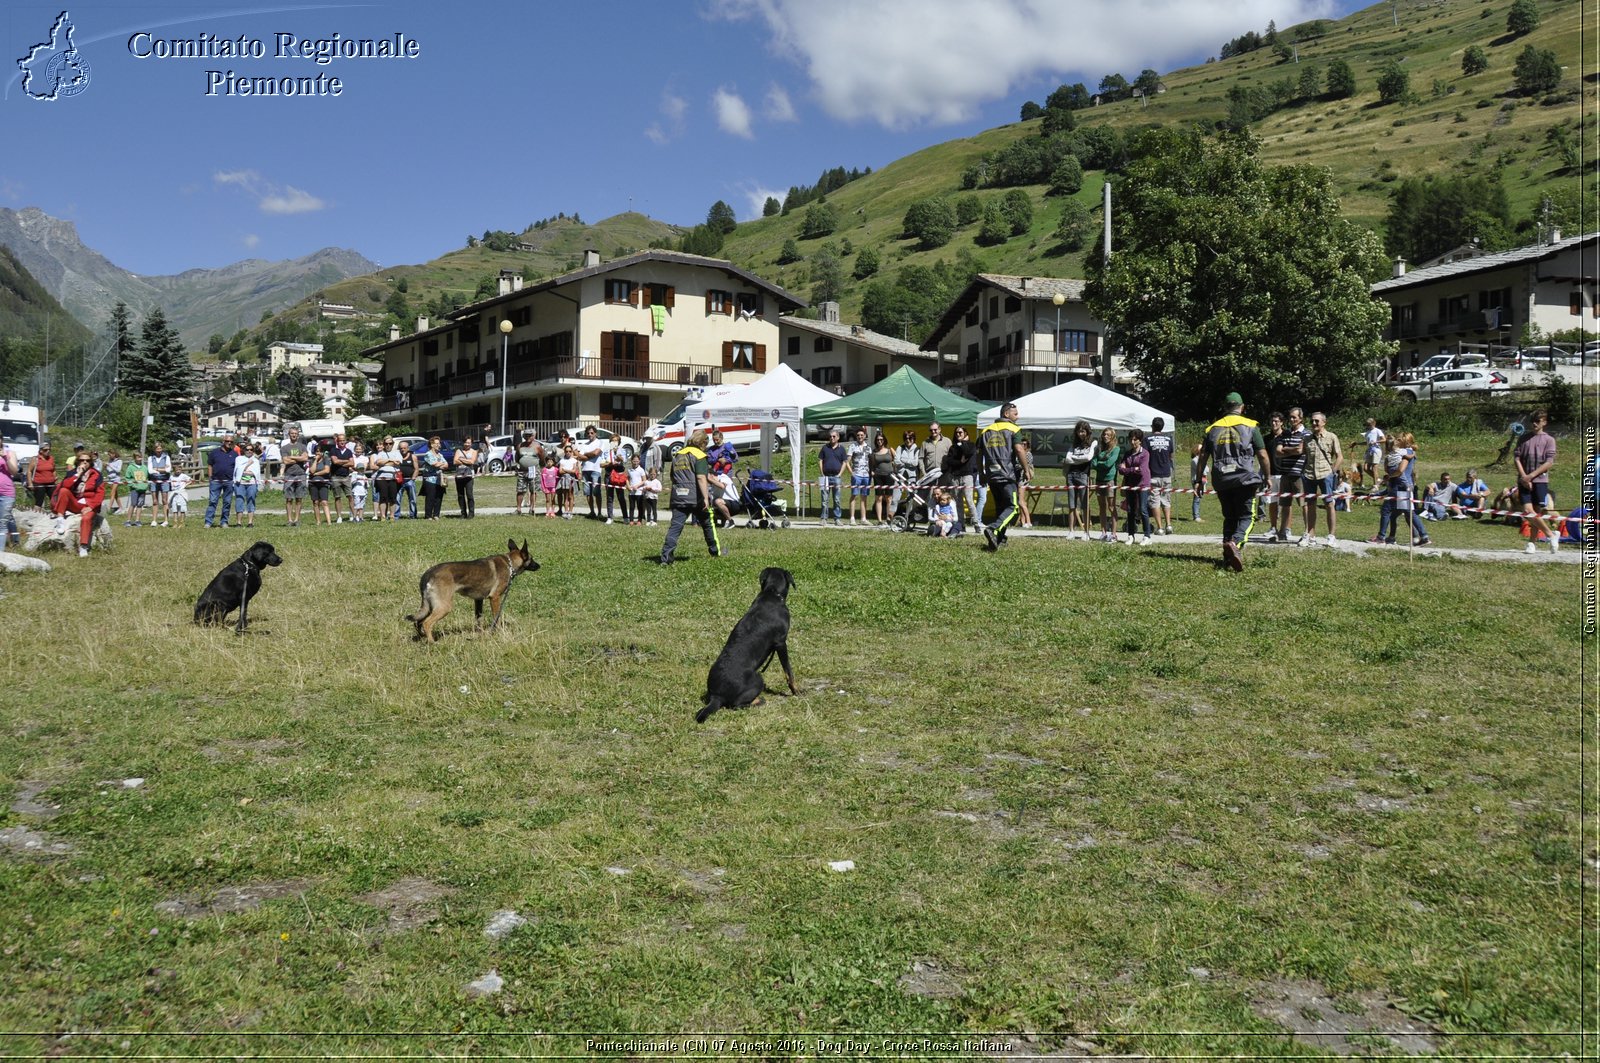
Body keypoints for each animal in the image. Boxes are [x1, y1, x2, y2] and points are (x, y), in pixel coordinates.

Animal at [409, 534, 540, 643]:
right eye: (532, 558)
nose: (539, 566)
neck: (510, 564)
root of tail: (428, 573)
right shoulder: (495, 598)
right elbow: (496, 618)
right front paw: (497, 633)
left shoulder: (478, 600)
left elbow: (478, 619)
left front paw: (479, 634)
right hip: (444, 606)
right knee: (426, 623)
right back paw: (432, 642)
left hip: (430, 605)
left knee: (418, 621)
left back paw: (422, 637)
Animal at [700, 563, 800, 723]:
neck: (771, 593)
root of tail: (717, 696)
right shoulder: (781, 642)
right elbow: (789, 672)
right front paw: (797, 691)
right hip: (758, 678)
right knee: (736, 705)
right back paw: (758, 700)